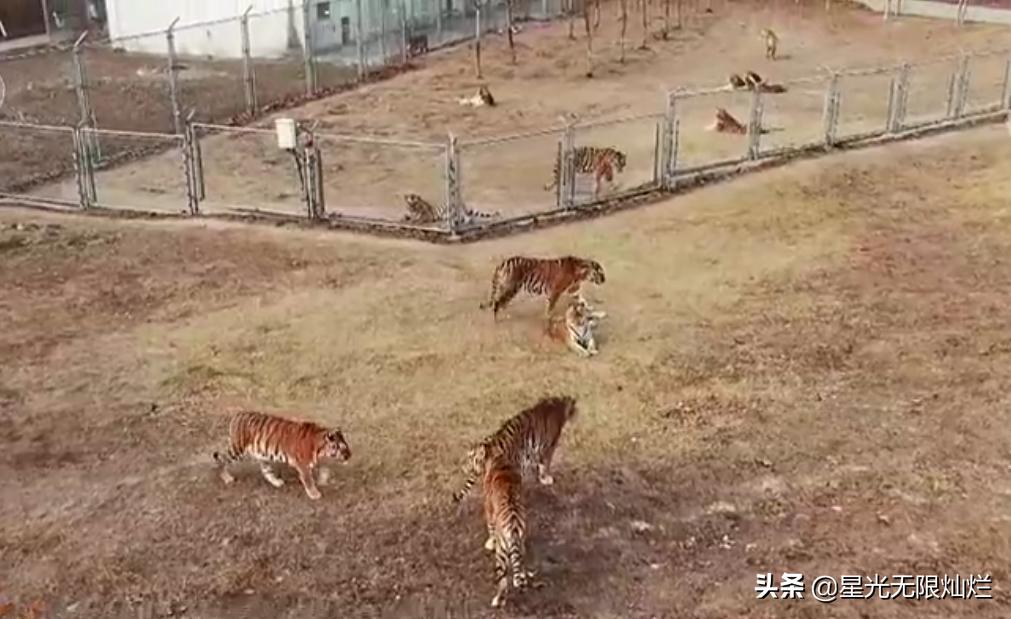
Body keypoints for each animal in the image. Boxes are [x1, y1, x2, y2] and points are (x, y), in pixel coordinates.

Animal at [212, 411, 351, 501]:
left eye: (347, 445)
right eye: (343, 447)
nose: (350, 455)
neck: (320, 448)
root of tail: (236, 415)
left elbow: (323, 469)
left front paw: (324, 480)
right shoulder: (303, 465)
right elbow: (308, 480)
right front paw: (314, 494)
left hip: (263, 456)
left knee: (266, 471)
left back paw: (277, 482)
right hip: (237, 449)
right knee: (221, 460)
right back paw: (226, 478)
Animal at [483, 455, 533, 608]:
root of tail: (514, 525)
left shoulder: (489, 513)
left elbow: (491, 531)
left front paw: (490, 543)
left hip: (501, 554)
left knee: (503, 582)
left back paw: (497, 600)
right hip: (521, 545)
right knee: (521, 566)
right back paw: (523, 576)